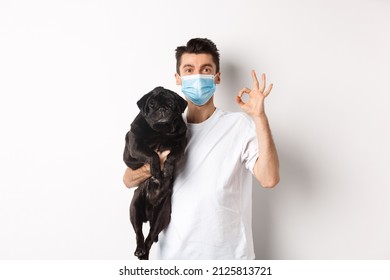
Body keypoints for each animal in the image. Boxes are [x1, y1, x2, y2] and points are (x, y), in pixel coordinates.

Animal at [123, 86, 187, 260]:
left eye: (171, 103)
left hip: (162, 215)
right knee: (139, 233)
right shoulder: (134, 147)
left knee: (151, 236)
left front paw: (167, 170)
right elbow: (152, 155)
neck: (161, 132)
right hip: (134, 208)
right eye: (152, 104)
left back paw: (144, 253)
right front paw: (157, 170)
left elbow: (172, 156)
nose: (162, 108)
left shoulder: (180, 144)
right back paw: (140, 250)